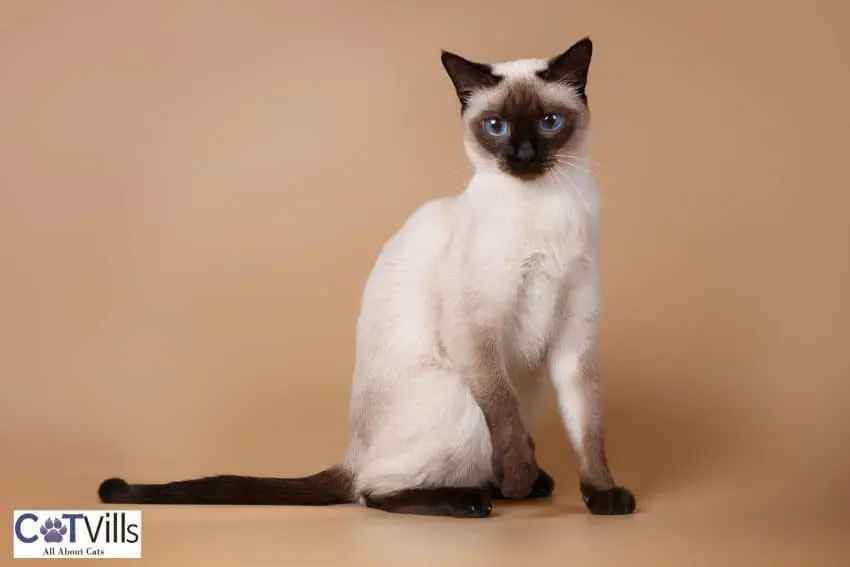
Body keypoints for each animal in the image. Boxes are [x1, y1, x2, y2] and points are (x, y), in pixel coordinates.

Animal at [96, 37, 632, 520]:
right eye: (495, 127)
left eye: (549, 123)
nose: (522, 156)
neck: (546, 208)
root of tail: (352, 454)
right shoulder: (476, 327)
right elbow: (504, 415)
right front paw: (519, 476)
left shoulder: (574, 338)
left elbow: (590, 431)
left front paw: (603, 496)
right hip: (458, 400)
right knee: (372, 492)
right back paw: (478, 497)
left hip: (528, 391)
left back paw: (521, 484)